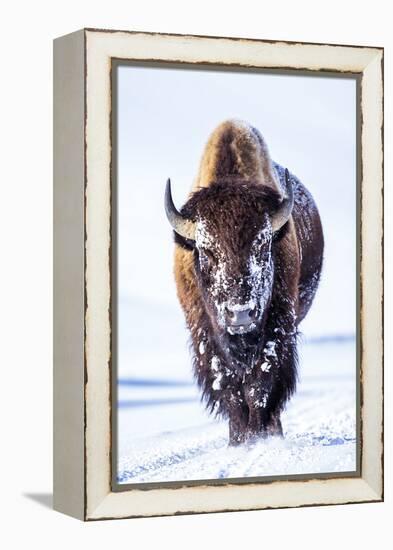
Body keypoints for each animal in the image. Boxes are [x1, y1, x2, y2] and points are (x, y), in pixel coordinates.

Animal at [164, 121, 324, 448]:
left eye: (262, 246)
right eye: (206, 251)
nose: (240, 314)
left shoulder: (278, 327)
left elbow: (261, 383)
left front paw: (259, 437)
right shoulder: (205, 334)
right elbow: (229, 387)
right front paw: (239, 440)